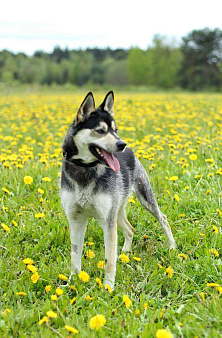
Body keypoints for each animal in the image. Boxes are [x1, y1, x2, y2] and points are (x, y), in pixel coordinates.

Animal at [59, 91, 176, 290]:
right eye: (100, 130)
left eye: (116, 129)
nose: (122, 144)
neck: (85, 169)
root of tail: (131, 151)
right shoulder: (76, 218)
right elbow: (75, 257)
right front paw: (73, 282)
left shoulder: (107, 221)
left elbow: (109, 260)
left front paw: (108, 287)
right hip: (117, 210)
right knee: (130, 229)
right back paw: (125, 254)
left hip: (144, 199)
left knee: (163, 219)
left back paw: (172, 246)